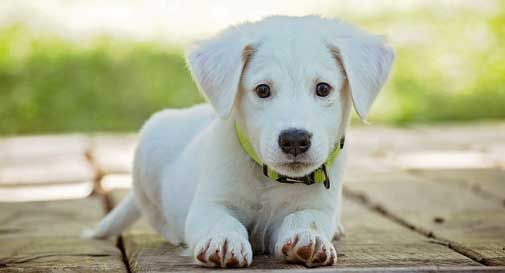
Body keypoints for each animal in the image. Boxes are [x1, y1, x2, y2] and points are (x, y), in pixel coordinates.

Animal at [87, 14, 394, 266]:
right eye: (262, 90)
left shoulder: (318, 206)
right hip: (149, 148)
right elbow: (220, 220)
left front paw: (309, 238)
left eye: (323, 89)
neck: (269, 179)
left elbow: (306, 218)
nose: (295, 140)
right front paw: (224, 240)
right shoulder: (209, 203)